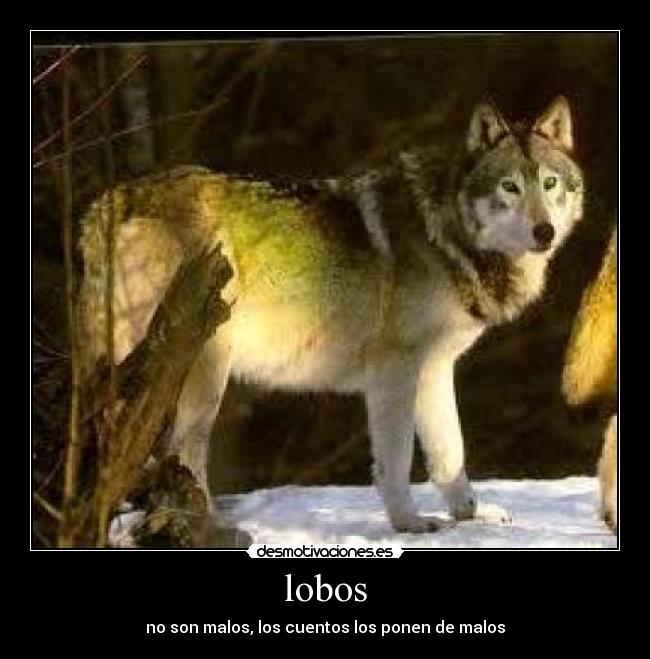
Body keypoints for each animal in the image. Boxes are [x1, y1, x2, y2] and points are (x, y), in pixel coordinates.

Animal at [79, 96, 584, 533]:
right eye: (509, 187)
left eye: (550, 183)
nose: (544, 232)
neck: (447, 234)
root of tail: (110, 200)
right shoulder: (395, 369)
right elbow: (397, 459)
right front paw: (409, 523)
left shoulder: (435, 367)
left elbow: (449, 454)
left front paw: (469, 515)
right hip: (201, 370)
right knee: (181, 451)